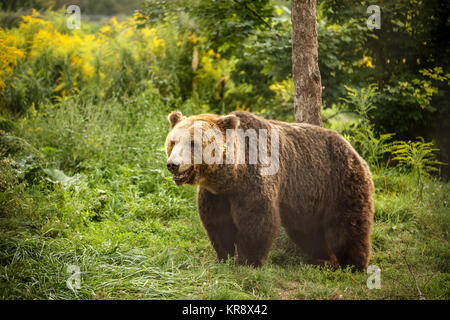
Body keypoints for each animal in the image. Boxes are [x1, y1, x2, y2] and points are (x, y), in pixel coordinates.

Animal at [164, 110, 372, 270]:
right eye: (173, 142)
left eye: (193, 143)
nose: (173, 165)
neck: (232, 175)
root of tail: (353, 149)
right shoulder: (217, 194)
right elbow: (218, 223)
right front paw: (223, 257)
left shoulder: (254, 178)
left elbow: (257, 219)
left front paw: (247, 261)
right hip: (308, 200)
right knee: (308, 232)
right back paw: (322, 259)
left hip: (339, 182)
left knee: (347, 227)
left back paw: (352, 265)